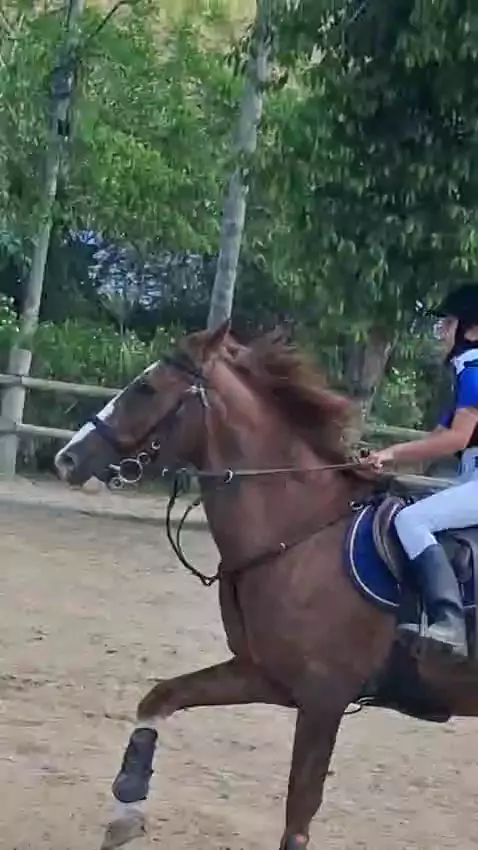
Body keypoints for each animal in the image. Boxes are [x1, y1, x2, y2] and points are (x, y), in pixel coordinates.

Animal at [54, 322, 478, 850]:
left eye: (146, 388)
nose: (66, 459)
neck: (298, 531)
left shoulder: (323, 698)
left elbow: (298, 816)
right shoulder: (266, 676)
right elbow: (161, 697)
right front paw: (126, 808)